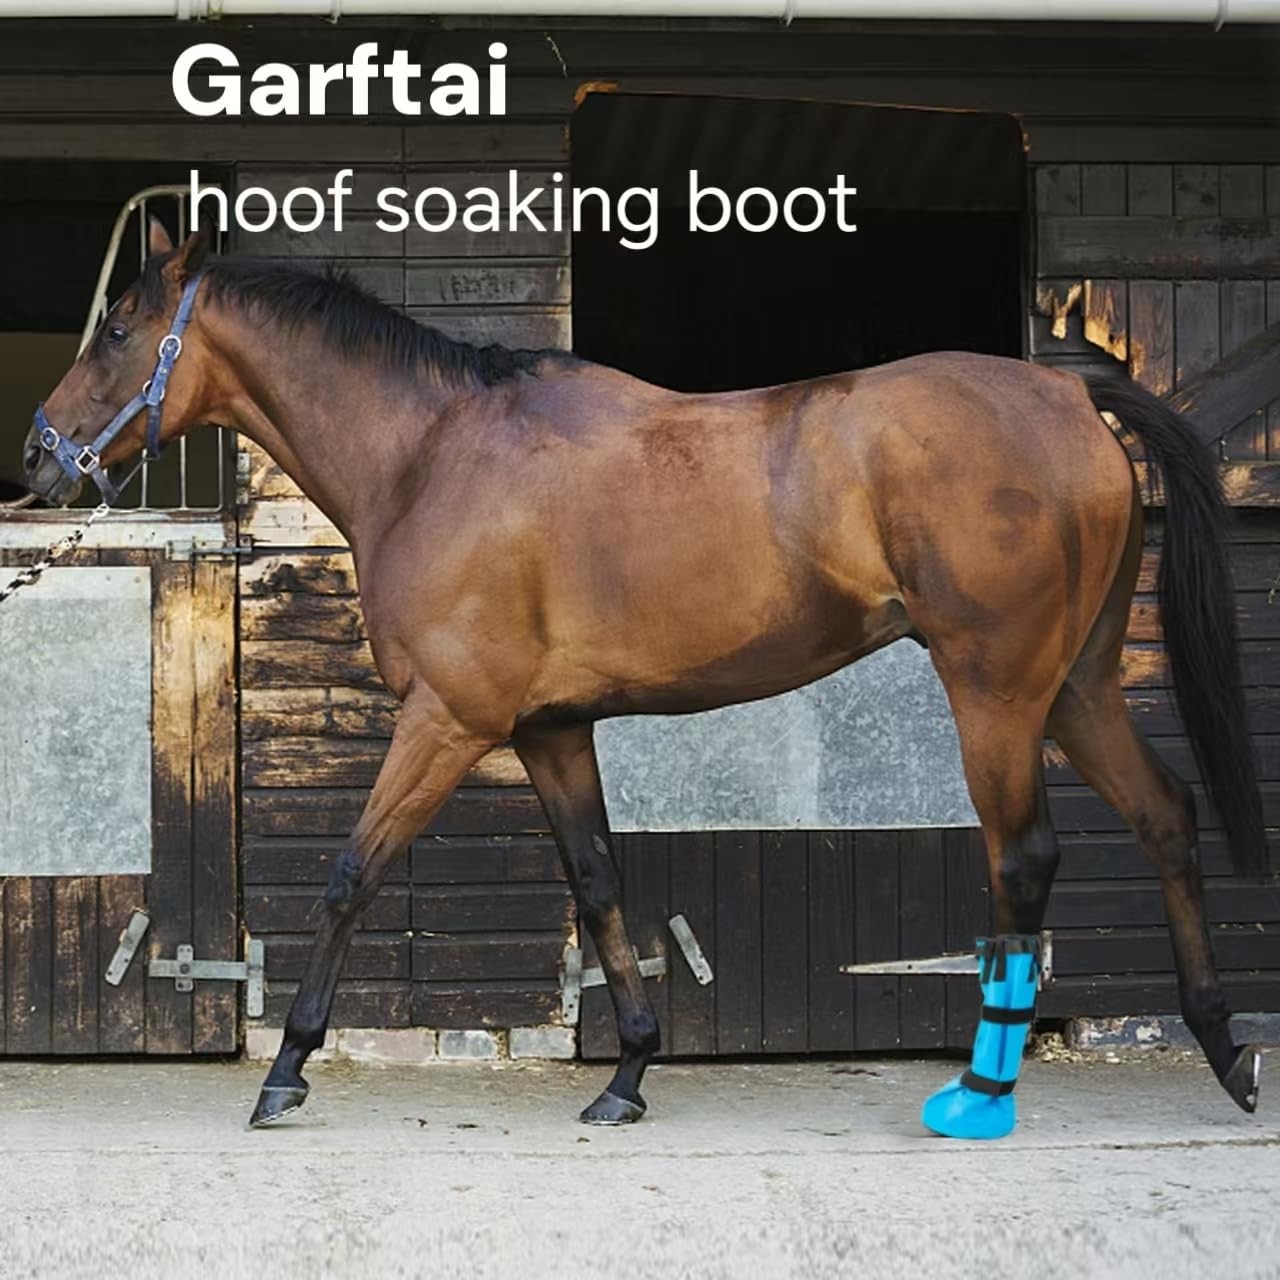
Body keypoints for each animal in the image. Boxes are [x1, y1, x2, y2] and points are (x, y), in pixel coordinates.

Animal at [23, 222, 1267, 1130]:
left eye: (120, 328)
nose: (40, 454)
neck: (433, 455)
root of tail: (1068, 396)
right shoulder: (549, 728)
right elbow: (597, 880)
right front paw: (624, 1073)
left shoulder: (448, 720)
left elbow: (349, 874)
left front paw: (287, 1066)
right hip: (1075, 688)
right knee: (1163, 815)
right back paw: (1222, 1048)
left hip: (996, 691)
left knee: (1024, 861)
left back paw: (982, 1091)